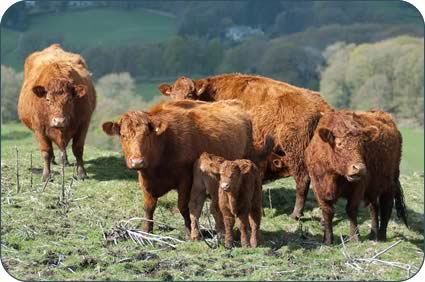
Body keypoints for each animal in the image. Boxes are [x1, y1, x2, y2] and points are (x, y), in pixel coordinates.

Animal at [17, 44, 96, 181]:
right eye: (48, 99)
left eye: (70, 99)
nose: (59, 121)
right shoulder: (39, 128)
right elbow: (46, 151)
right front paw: (46, 175)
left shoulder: (83, 124)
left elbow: (78, 149)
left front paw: (82, 173)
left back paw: (64, 160)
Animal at [101, 99, 270, 238]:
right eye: (123, 135)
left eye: (147, 134)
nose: (137, 162)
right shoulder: (145, 181)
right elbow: (149, 207)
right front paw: (146, 231)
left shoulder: (185, 179)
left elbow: (183, 206)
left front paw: (189, 232)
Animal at [159, 73, 332, 218]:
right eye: (171, 96)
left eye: (189, 95)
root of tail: (321, 105)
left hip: (294, 150)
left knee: (302, 179)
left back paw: (296, 214)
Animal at [304, 110, 408, 245]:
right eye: (339, 144)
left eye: (362, 145)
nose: (360, 168)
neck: (333, 174)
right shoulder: (318, 186)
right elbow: (327, 211)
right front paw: (327, 239)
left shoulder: (358, 186)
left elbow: (351, 209)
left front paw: (355, 237)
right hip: (373, 189)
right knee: (374, 208)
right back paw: (373, 234)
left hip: (390, 184)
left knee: (386, 208)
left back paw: (381, 236)